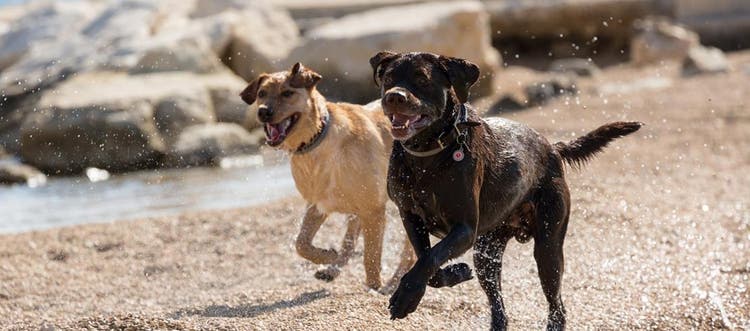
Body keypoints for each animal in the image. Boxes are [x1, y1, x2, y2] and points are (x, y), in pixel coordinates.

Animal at [242, 63, 414, 292]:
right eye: (261, 93)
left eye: (287, 93)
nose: (263, 111)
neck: (318, 140)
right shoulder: (318, 205)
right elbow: (301, 244)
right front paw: (326, 256)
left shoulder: (373, 210)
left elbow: (371, 258)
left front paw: (374, 287)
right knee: (349, 243)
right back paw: (333, 268)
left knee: (409, 254)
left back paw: (393, 284)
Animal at [370, 50, 640, 330]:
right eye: (388, 78)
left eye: (422, 79)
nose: (395, 97)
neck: (428, 154)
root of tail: (553, 148)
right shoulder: (410, 216)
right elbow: (427, 259)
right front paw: (455, 273)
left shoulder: (465, 229)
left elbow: (430, 258)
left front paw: (405, 298)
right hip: (487, 254)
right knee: (499, 306)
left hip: (548, 248)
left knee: (557, 304)